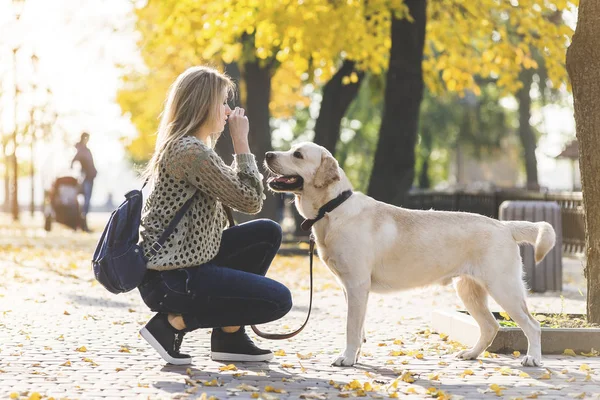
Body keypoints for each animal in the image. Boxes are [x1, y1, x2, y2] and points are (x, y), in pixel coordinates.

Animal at [264, 142, 556, 368]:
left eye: (298, 154)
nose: (267, 154)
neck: (332, 208)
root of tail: (505, 225)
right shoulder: (351, 288)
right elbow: (359, 328)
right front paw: (355, 356)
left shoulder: (357, 284)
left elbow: (351, 328)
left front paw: (346, 358)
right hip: (469, 290)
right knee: (490, 326)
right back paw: (471, 354)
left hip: (503, 288)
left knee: (532, 325)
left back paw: (533, 359)